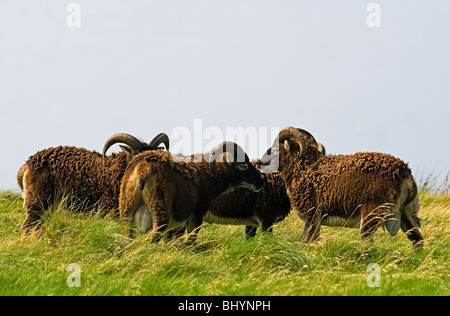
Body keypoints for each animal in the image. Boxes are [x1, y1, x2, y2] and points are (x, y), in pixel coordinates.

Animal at [258, 127, 424, 251]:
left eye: (275, 150)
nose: (260, 163)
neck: (303, 169)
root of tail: (405, 174)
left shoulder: (312, 216)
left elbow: (307, 241)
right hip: (407, 212)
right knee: (418, 240)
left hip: (371, 214)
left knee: (368, 242)